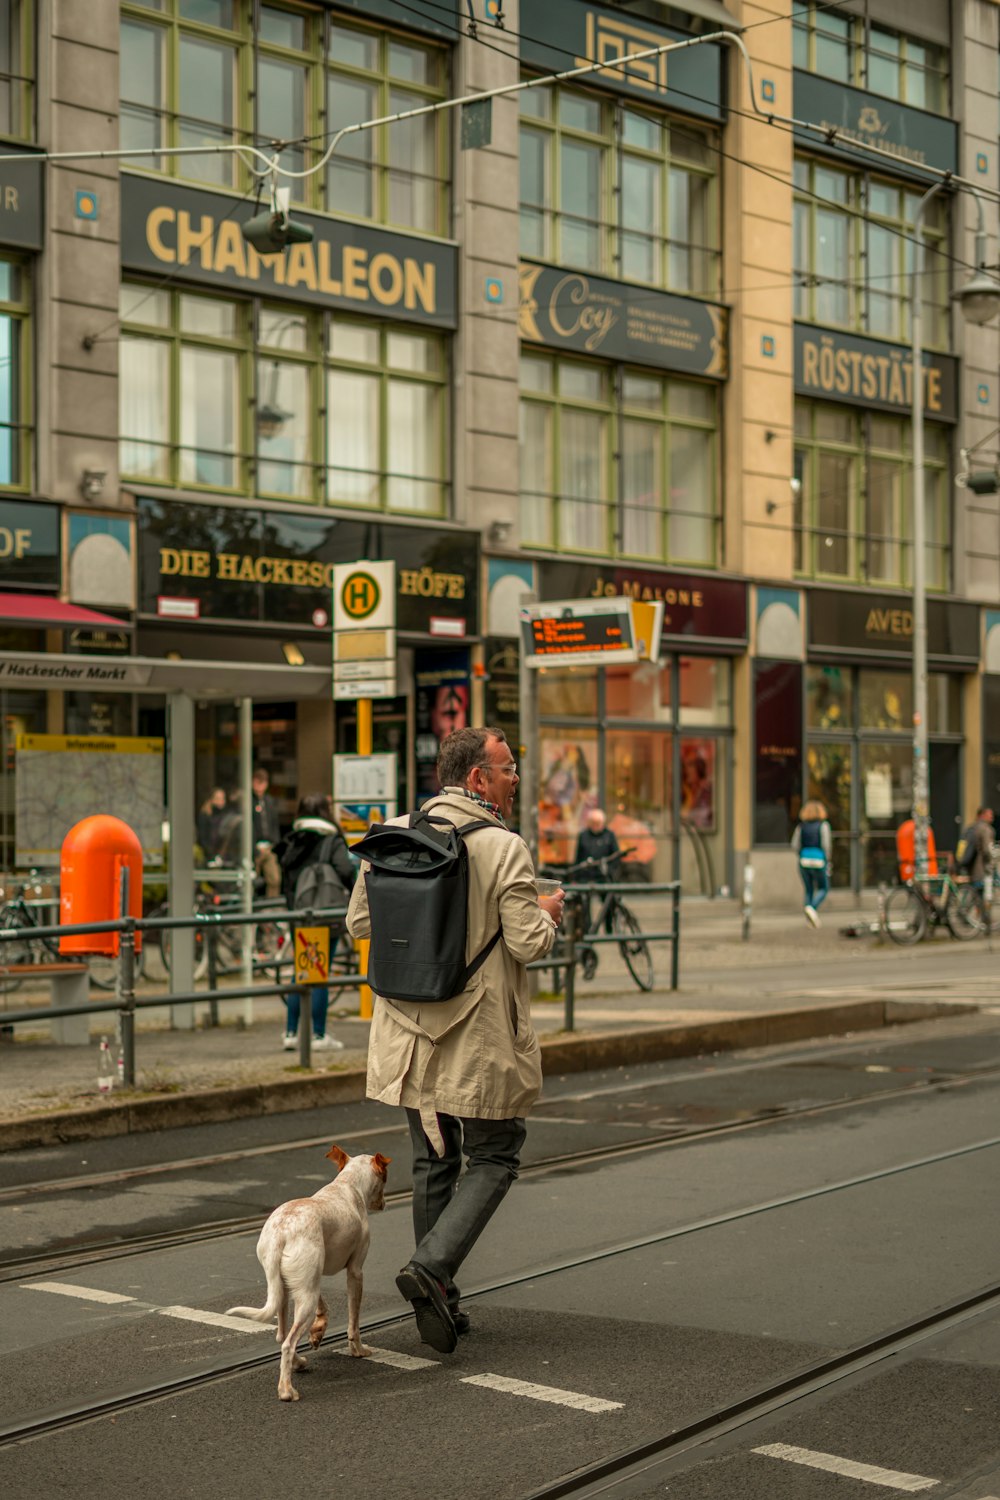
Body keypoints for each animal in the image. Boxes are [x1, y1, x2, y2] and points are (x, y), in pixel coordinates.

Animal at [229, 1140, 392, 1398]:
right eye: (385, 1177)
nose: (384, 1204)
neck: (348, 1185)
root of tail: (281, 1232)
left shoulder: (310, 1279)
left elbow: (323, 1308)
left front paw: (319, 1329)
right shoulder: (355, 1272)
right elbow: (353, 1323)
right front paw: (358, 1350)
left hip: (289, 1292)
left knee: (282, 1335)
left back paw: (297, 1364)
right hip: (305, 1296)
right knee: (287, 1343)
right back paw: (286, 1390)